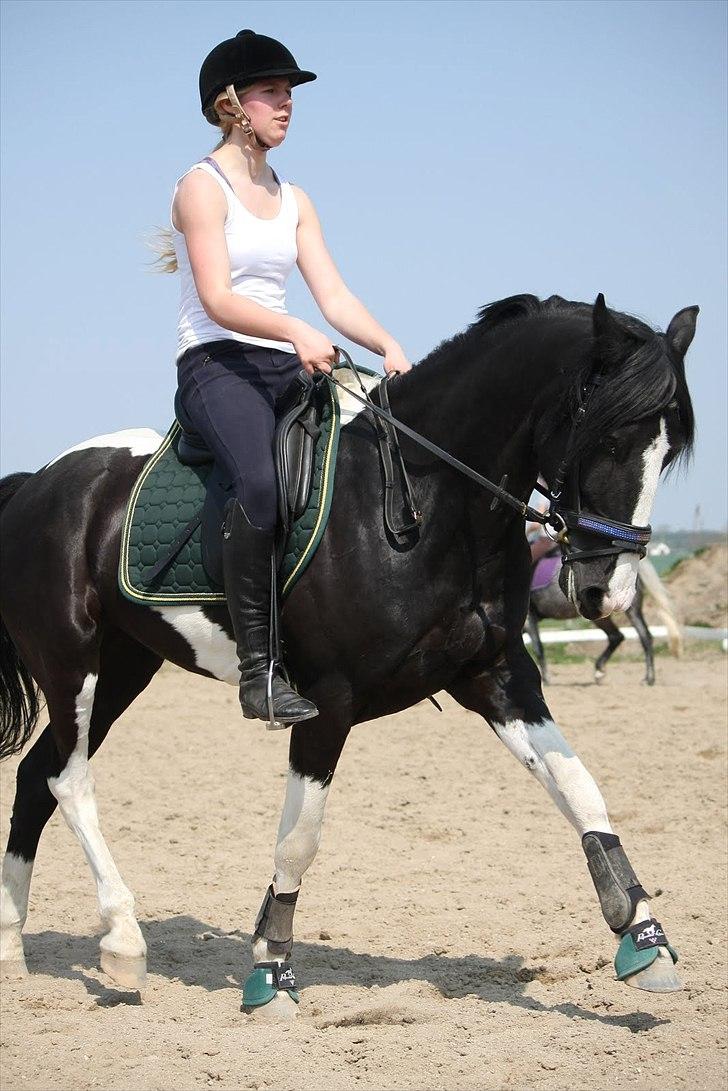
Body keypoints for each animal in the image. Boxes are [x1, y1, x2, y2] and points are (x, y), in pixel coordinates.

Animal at [526, 549, 681, 685]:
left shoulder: (529, 619)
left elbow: (538, 647)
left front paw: (545, 680)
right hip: (602, 615)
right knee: (616, 636)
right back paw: (600, 671)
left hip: (629, 609)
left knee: (644, 636)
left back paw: (648, 678)